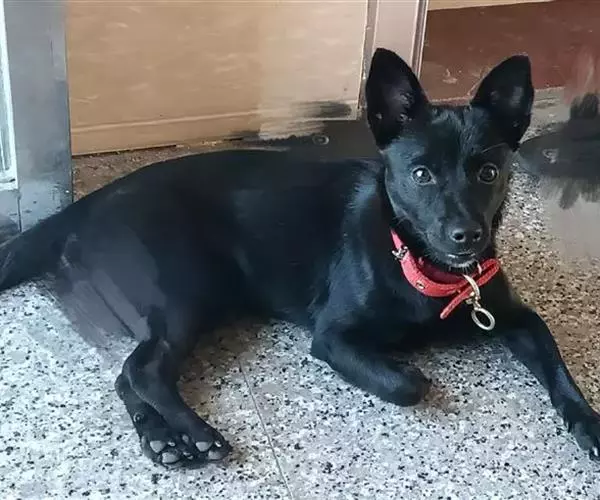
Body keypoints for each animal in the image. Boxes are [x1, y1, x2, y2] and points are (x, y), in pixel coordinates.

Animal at [1, 47, 599, 468]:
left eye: (489, 173)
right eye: (421, 174)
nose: (466, 237)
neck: (420, 264)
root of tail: (89, 202)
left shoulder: (519, 317)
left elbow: (560, 372)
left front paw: (590, 424)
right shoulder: (334, 338)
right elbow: (408, 383)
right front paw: (408, 367)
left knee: (128, 375)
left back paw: (162, 442)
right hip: (182, 293)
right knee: (143, 370)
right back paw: (194, 434)